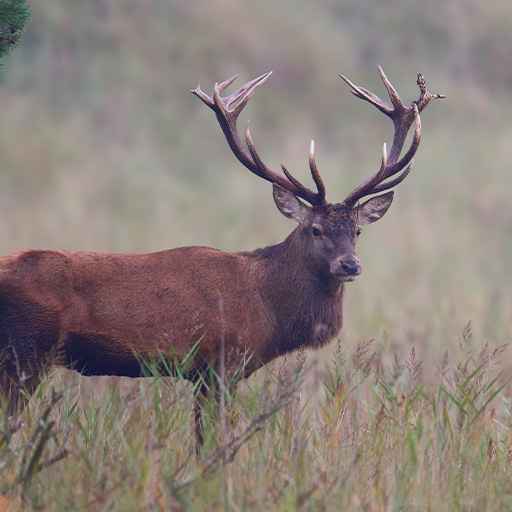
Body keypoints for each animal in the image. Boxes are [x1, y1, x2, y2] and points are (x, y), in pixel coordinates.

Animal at [0, 67, 442, 444]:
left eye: (357, 231)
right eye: (314, 229)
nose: (350, 264)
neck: (269, 308)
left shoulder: (202, 374)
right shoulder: (221, 364)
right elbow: (210, 442)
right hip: (25, 351)